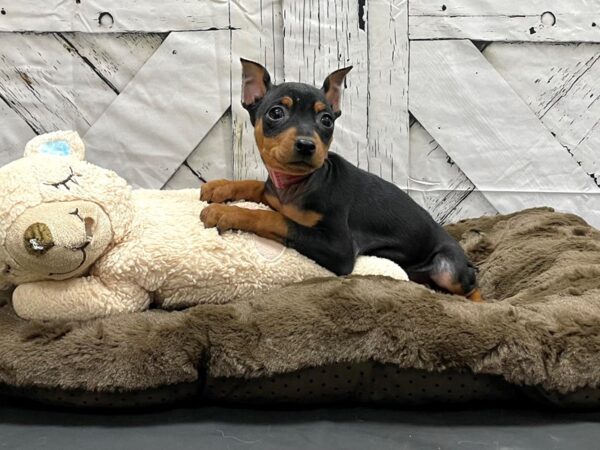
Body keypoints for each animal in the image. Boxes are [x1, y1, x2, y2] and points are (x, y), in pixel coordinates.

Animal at [202, 58, 482, 300]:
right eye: (276, 113)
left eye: (326, 120)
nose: (306, 145)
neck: (297, 183)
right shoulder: (273, 194)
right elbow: (256, 185)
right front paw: (219, 187)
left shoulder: (339, 249)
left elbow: (276, 219)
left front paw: (226, 212)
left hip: (448, 268)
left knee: (472, 285)